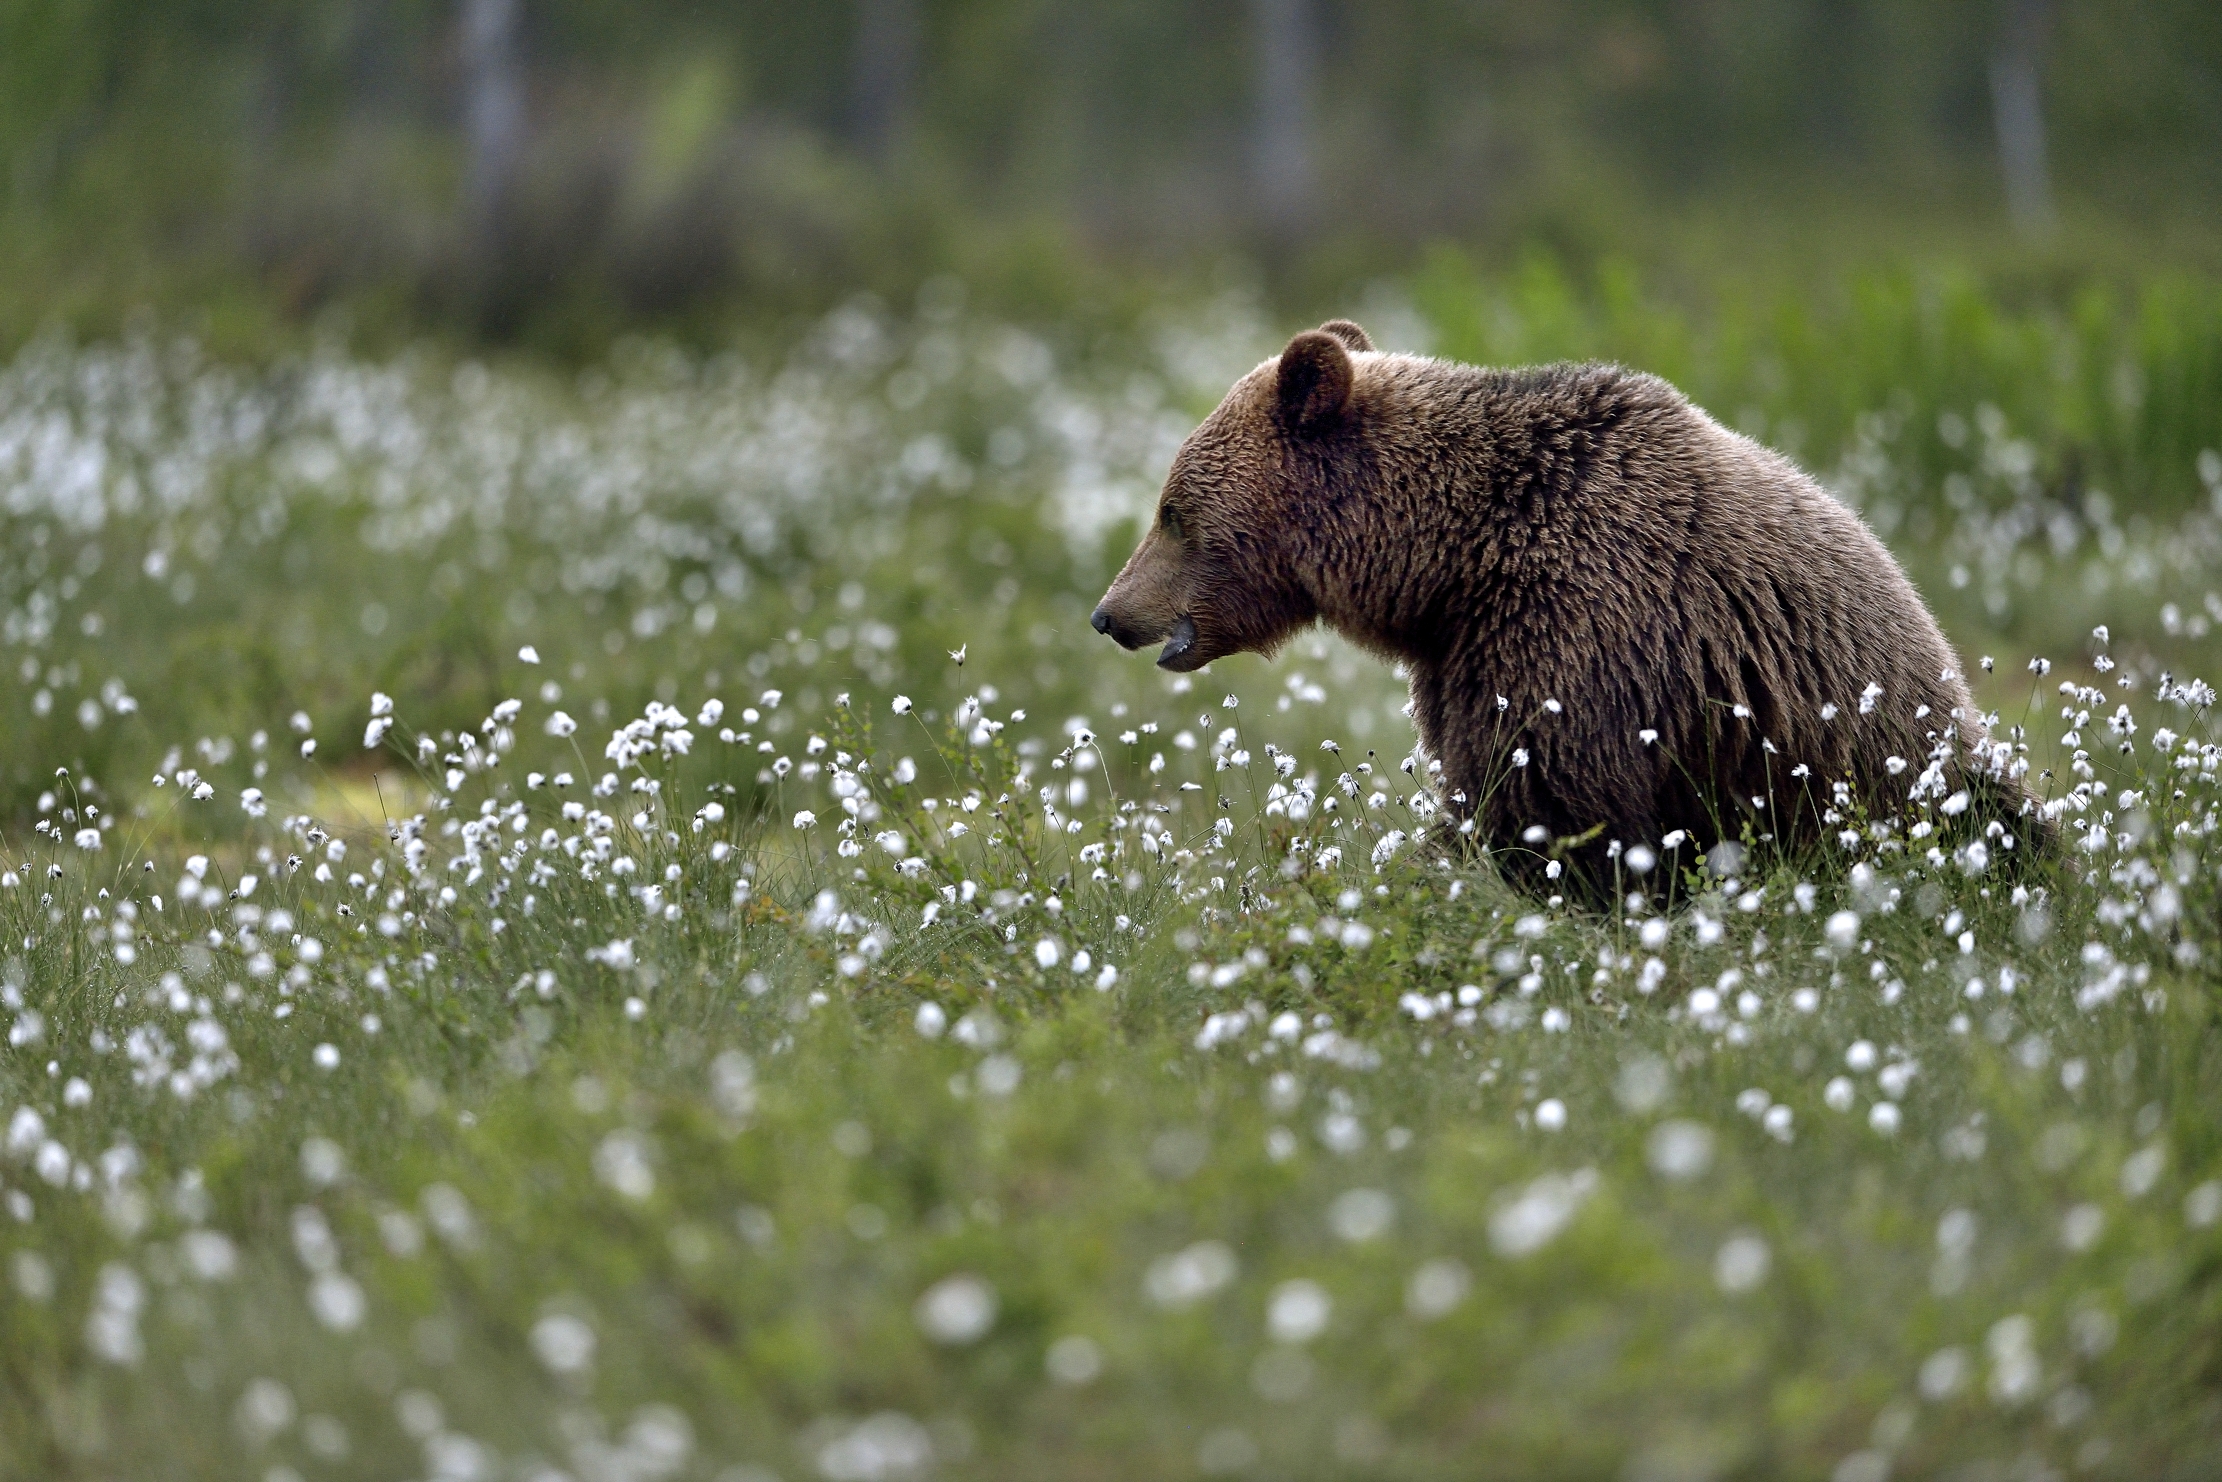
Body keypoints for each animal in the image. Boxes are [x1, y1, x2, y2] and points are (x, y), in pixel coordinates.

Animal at [1090, 318, 2037, 896]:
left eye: (1171, 509)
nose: (1107, 613)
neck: (1446, 563)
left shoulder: (1574, 622)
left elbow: (1545, 796)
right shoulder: (1460, 654)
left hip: (1877, 768)